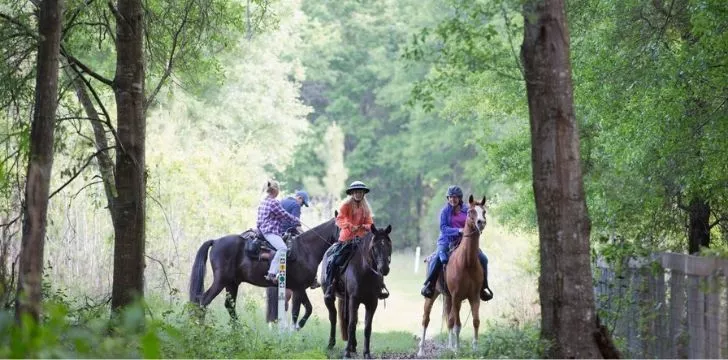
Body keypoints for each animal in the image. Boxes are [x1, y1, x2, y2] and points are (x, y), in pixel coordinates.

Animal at [186, 217, 336, 330]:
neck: (305, 250)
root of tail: (215, 241)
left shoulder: (299, 288)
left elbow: (308, 308)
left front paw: (298, 327)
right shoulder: (298, 289)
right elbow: (296, 312)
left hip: (232, 283)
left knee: (229, 305)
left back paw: (238, 331)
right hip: (221, 281)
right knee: (204, 300)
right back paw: (201, 328)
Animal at [322, 224, 392, 358]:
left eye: (389, 245)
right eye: (374, 247)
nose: (384, 269)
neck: (365, 271)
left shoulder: (372, 302)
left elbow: (367, 327)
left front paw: (367, 353)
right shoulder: (354, 300)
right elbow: (351, 325)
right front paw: (346, 352)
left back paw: (353, 345)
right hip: (330, 297)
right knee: (333, 317)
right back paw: (331, 344)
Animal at [418, 194, 486, 354]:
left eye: (484, 211)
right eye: (471, 212)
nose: (481, 223)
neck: (467, 263)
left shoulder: (474, 297)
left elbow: (475, 321)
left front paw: (474, 349)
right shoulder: (456, 297)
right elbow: (457, 325)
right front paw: (458, 350)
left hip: (448, 297)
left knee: (448, 320)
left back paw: (449, 346)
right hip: (433, 295)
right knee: (426, 319)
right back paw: (421, 350)